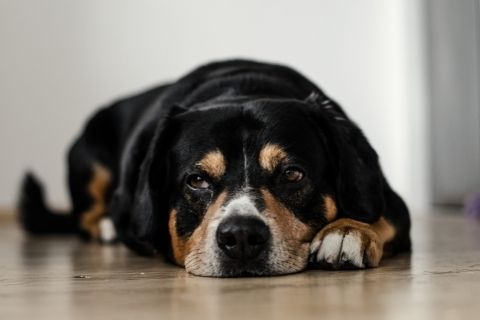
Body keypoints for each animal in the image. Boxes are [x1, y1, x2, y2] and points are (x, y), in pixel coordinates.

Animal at [17, 60, 408, 278]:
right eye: (197, 180)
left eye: (292, 174)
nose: (242, 237)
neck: (242, 90)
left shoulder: (389, 198)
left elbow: (380, 215)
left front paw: (346, 231)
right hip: (88, 159)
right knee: (85, 215)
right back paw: (106, 225)